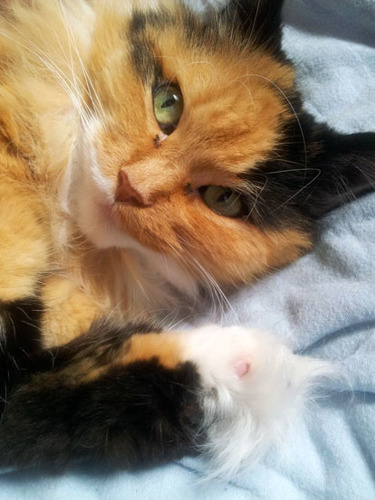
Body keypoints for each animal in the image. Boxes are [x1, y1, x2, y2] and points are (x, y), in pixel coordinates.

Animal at [0, 0, 374, 476]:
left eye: (222, 199)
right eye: (167, 104)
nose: (130, 187)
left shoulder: (26, 390)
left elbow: (85, 404)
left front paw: (252, 369)